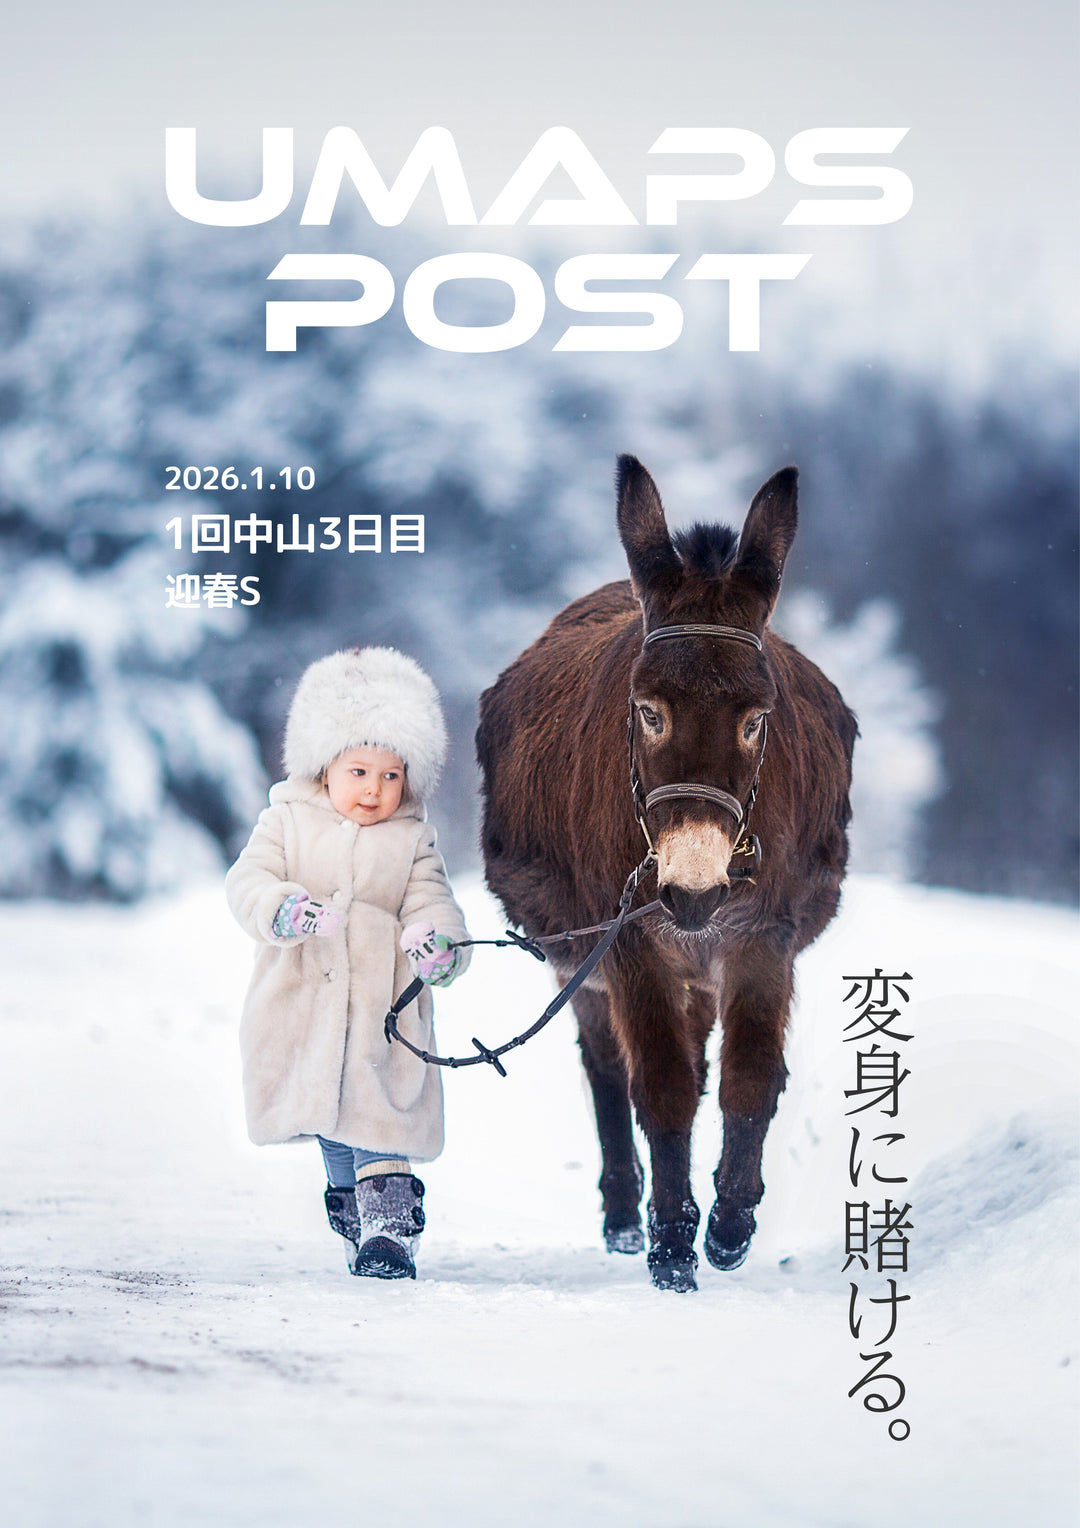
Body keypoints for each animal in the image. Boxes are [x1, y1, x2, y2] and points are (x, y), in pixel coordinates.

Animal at [476, 456, 857, 1292]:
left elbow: (748, 1080)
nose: (690, 889)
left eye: (756, 718)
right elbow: (661, 1085)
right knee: (607, 1067)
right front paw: (673, 1243)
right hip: (580, 962)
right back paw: (625, 1215)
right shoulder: (627, 943)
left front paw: (730, 1226)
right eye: (648, 711)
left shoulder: (762, 936)